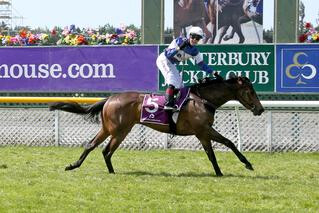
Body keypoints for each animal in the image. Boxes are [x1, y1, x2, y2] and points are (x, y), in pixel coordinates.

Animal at [49, 76, 264, 176]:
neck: (202, 99)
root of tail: (110, 98)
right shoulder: (202, 131)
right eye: (250, 91)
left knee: (95, 146)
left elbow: (224, 146)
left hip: (109, 129)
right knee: (106, 150)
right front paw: (231, 169)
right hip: (119, 130)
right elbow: (218, 149)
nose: (260, 109)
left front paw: (239, 166)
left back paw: (77, 166)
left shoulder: (204, 132)